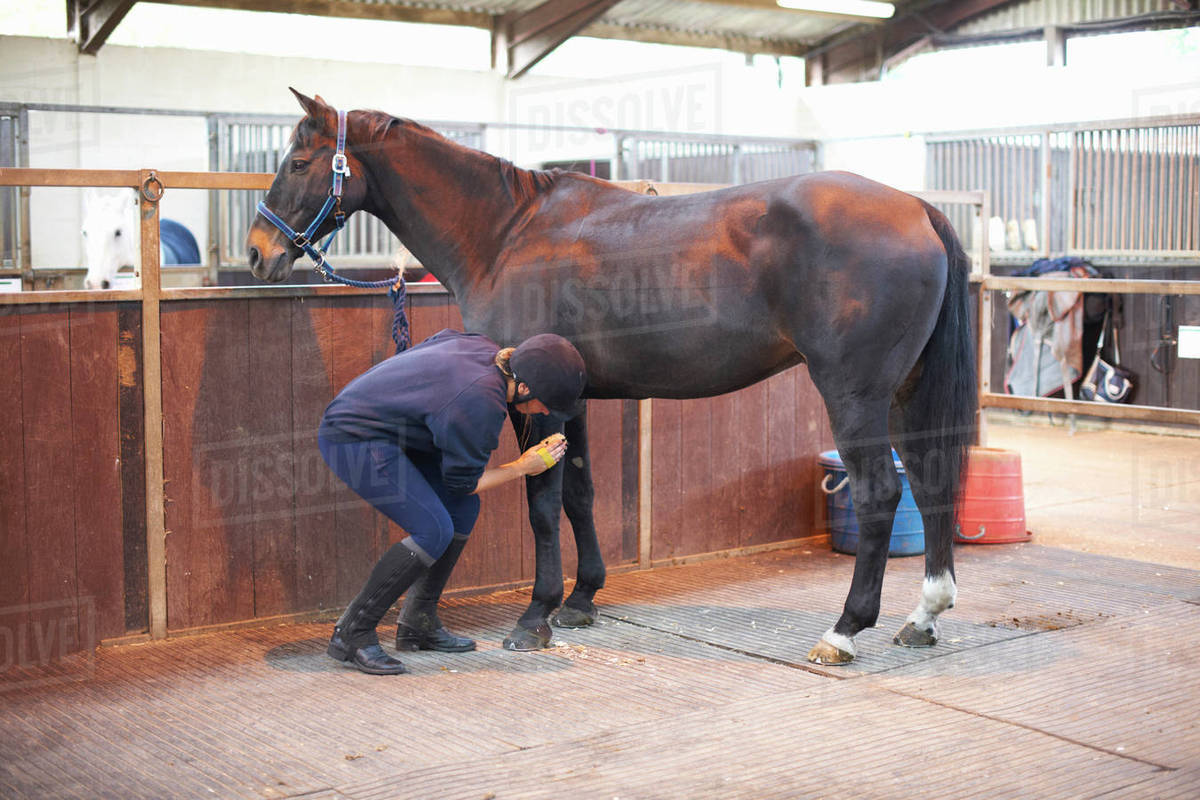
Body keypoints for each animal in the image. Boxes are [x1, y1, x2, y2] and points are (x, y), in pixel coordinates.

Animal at [245, 90, 977, 665]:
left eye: (299, 162)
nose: (258, 252)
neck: (507, 233)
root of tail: (917, 208)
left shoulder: (532, 405)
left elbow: (542, 506)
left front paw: (534, 617)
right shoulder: (573, 398)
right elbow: (580, 495)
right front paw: (580, 600)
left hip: (854, 394)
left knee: (882, 491)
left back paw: (845, 630)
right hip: (905, 393)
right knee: (932, 479)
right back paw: (923, 617)